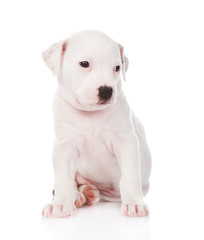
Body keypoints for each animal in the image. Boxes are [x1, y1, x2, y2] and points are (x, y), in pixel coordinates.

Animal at [41, 30, 151, 218]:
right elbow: (63, 178)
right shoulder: (64, 146)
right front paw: (61, 204)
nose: (107, 91)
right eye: (84, 64)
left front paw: (134, 203)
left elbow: (130, 176)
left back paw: (88, 193)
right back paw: (80, 195)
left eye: (117, 68)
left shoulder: (126, 141)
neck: (90, 114)